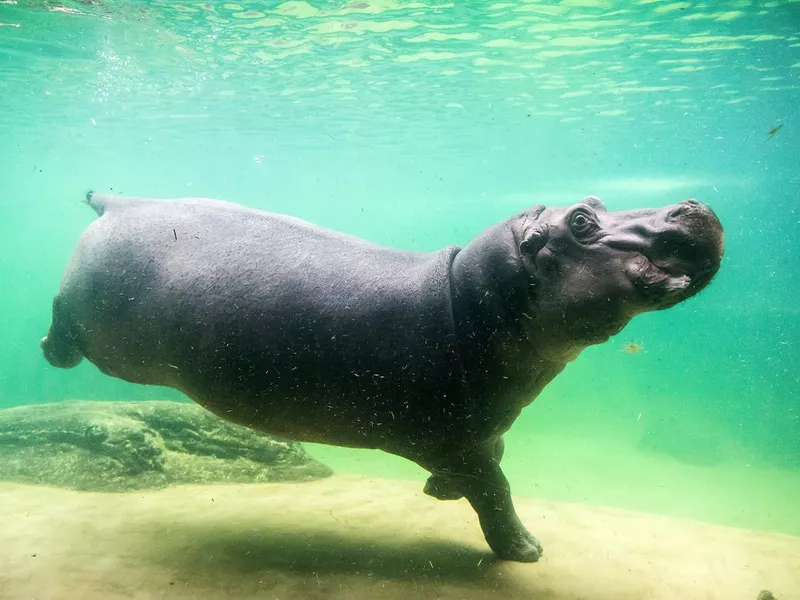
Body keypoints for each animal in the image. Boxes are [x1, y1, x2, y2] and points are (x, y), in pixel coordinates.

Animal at [40, 192, 720, 564]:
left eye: (597, 203)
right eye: (580, 221)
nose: (692, 206)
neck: (473, 297)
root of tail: (120, 202)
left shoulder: (482, 432)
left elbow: (494, 461)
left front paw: (438, 494)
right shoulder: (458, 441)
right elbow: (495, 490)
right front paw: (526, 550)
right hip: (109, 339)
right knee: (63, 325)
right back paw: (51, 353)